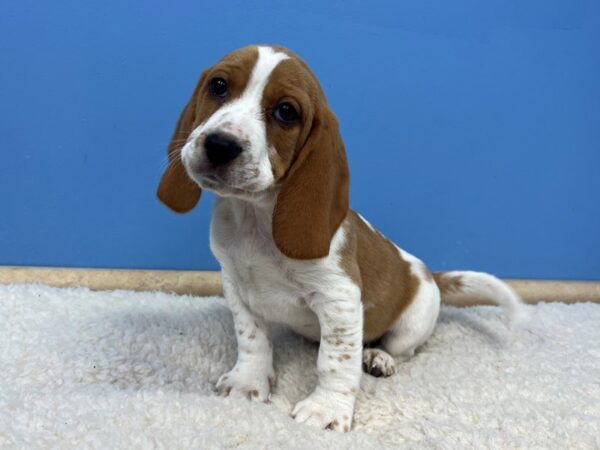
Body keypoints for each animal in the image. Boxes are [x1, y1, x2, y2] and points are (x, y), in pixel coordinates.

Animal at [157, 45, 524, 432]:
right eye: (219, 86)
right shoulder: (237, 288)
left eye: (286, 112)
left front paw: (326, 409)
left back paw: (379, 356)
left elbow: (335, 361)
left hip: (413, 323)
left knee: (402, 350)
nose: (220, 145)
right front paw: (248, 383)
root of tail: (429, 274)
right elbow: (253, 340)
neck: (256, 219)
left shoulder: (339, 298)